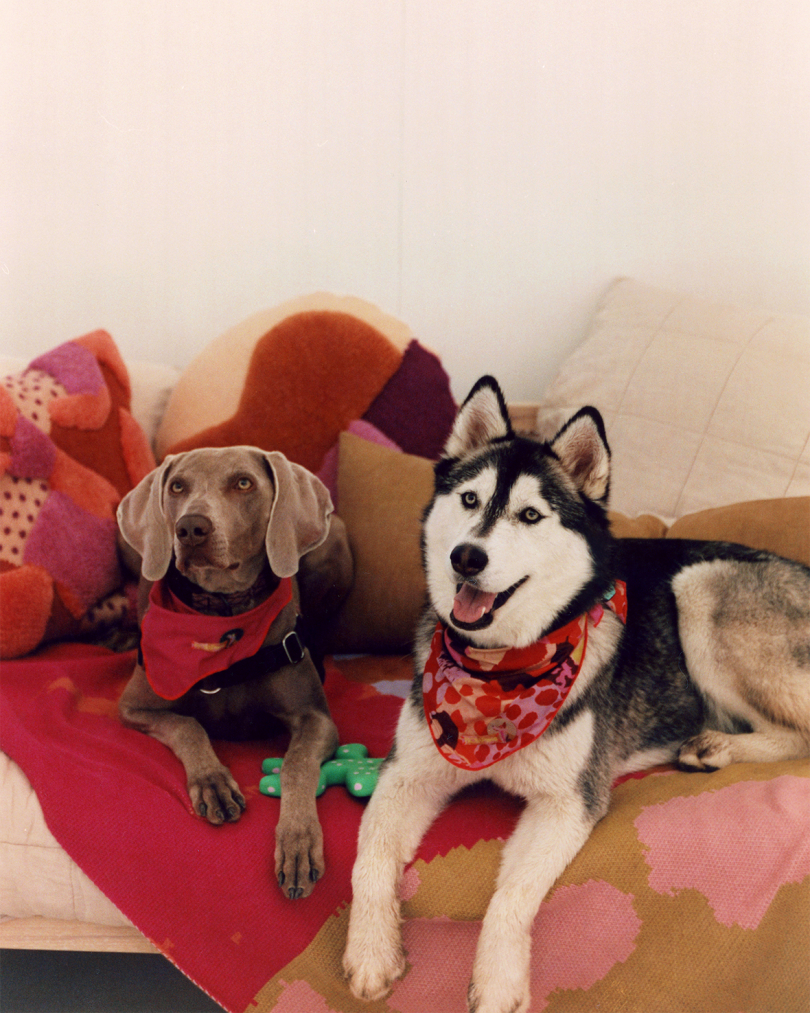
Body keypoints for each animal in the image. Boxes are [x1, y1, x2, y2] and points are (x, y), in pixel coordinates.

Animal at [344, 374, 810, 1013]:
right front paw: (370, 951)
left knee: (801, 733)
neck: (500, 671)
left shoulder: (569, 802)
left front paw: (497, 982)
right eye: (469, 500)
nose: (467, 556)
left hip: (700, 586)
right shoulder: (407, 774)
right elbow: (367, 860)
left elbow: (510, 896)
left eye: (530, 515)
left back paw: (716, 744)